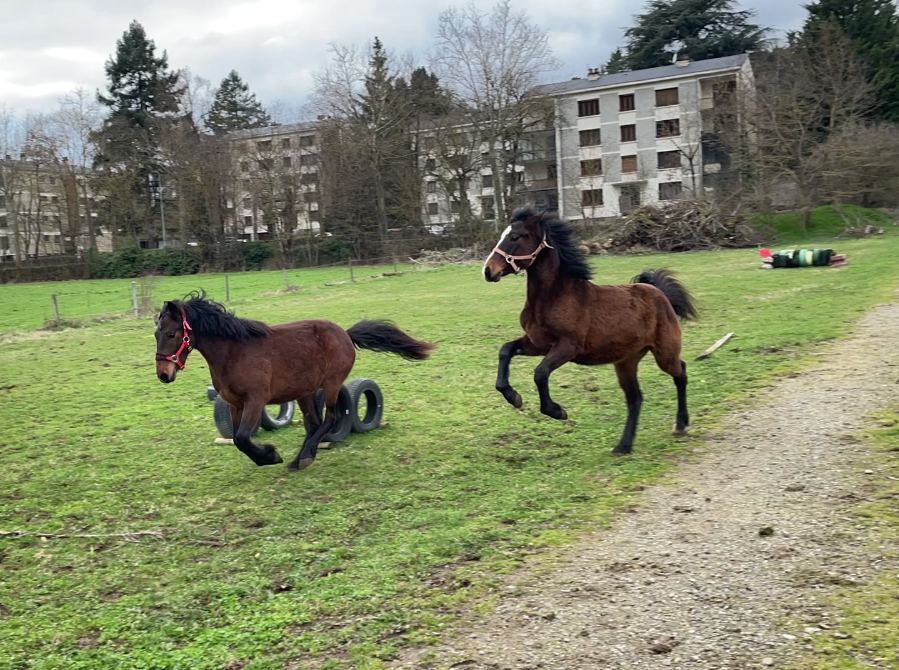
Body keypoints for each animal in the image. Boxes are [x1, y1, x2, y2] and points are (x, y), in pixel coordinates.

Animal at [154, 291, 434, 471]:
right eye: (156, 334)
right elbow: (236, 438)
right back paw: (300, 459)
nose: (163, 374)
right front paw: (268, 457)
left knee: (331, 418)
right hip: (305, 392)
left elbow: (243, 438)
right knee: (313, 424)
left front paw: (270, 455)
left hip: (331, 384)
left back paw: (305, 458)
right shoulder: (234, 404)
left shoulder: (256, 400)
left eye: (172, 334)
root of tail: (345, 334)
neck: (233, 353)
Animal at [482, 208, 698, 456]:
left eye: (515, 237)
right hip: (626, 361)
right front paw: (514, 397)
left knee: (681, 373)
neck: (553, 297)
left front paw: (557, 411)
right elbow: (505, 350)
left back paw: (680, 424)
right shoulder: (537, 344)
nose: (488, 271)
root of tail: (660, 293)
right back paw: (623, 446)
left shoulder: (567, 347)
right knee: (635, 399)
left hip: (664, 354)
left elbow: (540, 373)